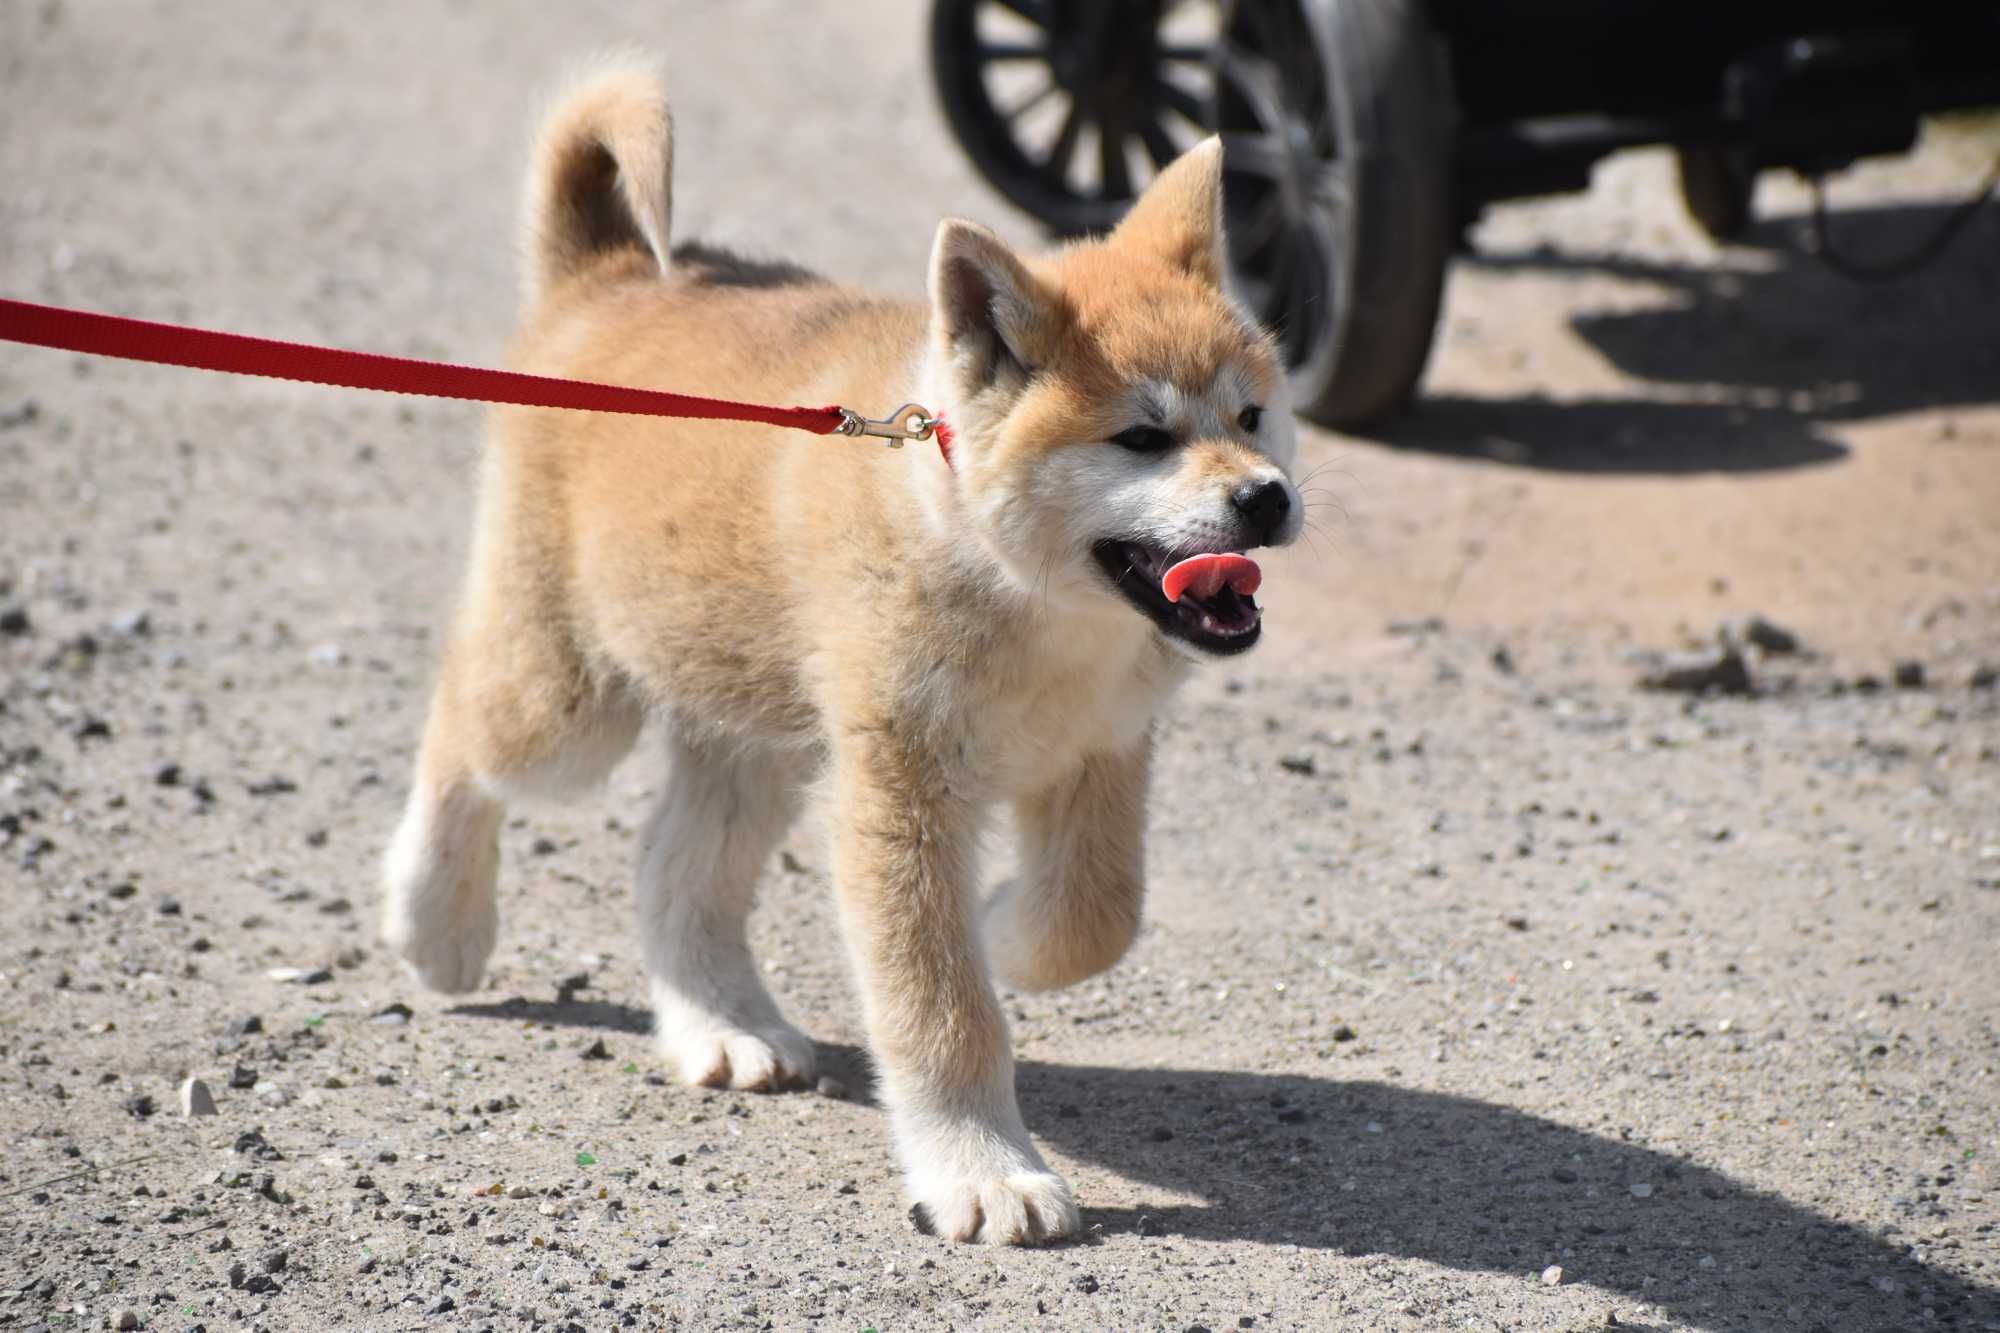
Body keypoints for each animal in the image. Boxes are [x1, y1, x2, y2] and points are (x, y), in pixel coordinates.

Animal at [382, 59, 1304, 1248]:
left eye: (1252, 414)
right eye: (1142, 438)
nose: (1266, 497)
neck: (1022, 597)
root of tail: (607, 283)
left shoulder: (1101, 753)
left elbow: (1097, 916)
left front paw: (1009, 931)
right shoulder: (898, 798)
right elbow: (942, 1010)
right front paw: (984, 1168)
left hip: (752, 729)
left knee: (672, 867)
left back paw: (720, 1025)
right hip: (572, 703)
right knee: (460, 729)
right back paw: (434, 918)